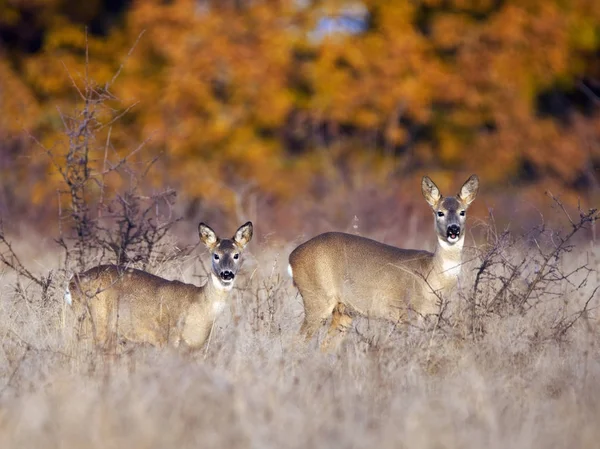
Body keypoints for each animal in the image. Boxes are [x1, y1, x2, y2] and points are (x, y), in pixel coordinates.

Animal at [65, 220, 253, 350]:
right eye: (216, 255)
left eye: (236, 255)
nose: (227, 273)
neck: (199, 306)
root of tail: (73, 281)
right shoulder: (169, 338)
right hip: (96, 318)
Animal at [288, 174, 480, 344]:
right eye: (439, 212)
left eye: (463, 212)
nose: (453, 229)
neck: (433, 275)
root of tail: (292, 257)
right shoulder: (407, 314)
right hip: (317, 298)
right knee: (296, 342)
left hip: (343, 312)